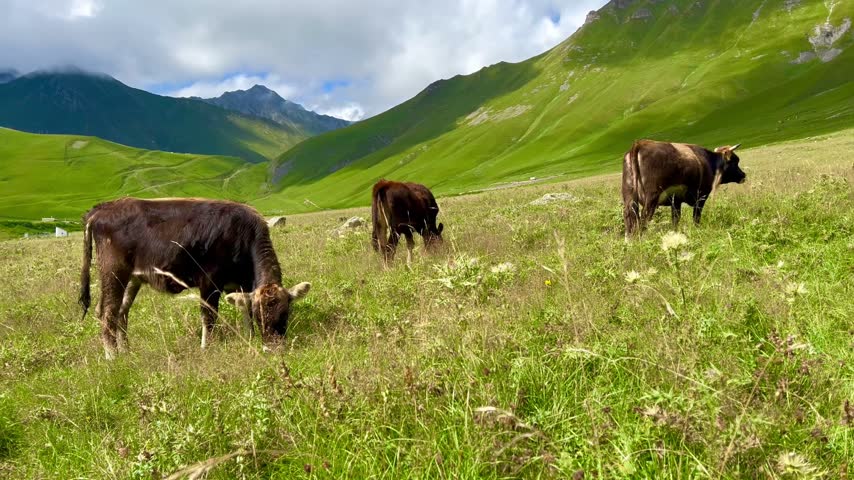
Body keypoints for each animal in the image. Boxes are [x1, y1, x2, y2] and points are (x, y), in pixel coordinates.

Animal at [78, 197, 311, 359]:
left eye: (285, 314)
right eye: (260, 316)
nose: (273, 349)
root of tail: (102, 208)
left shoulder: (242, 285)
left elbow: (243, 310)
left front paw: (249, 338)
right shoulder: (209, 281)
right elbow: (209, 317)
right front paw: (207, 347)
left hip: (133, 278)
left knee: (121, 312)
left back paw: (127, 351)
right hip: (113, 272)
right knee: (107, 313)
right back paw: (113, 357)